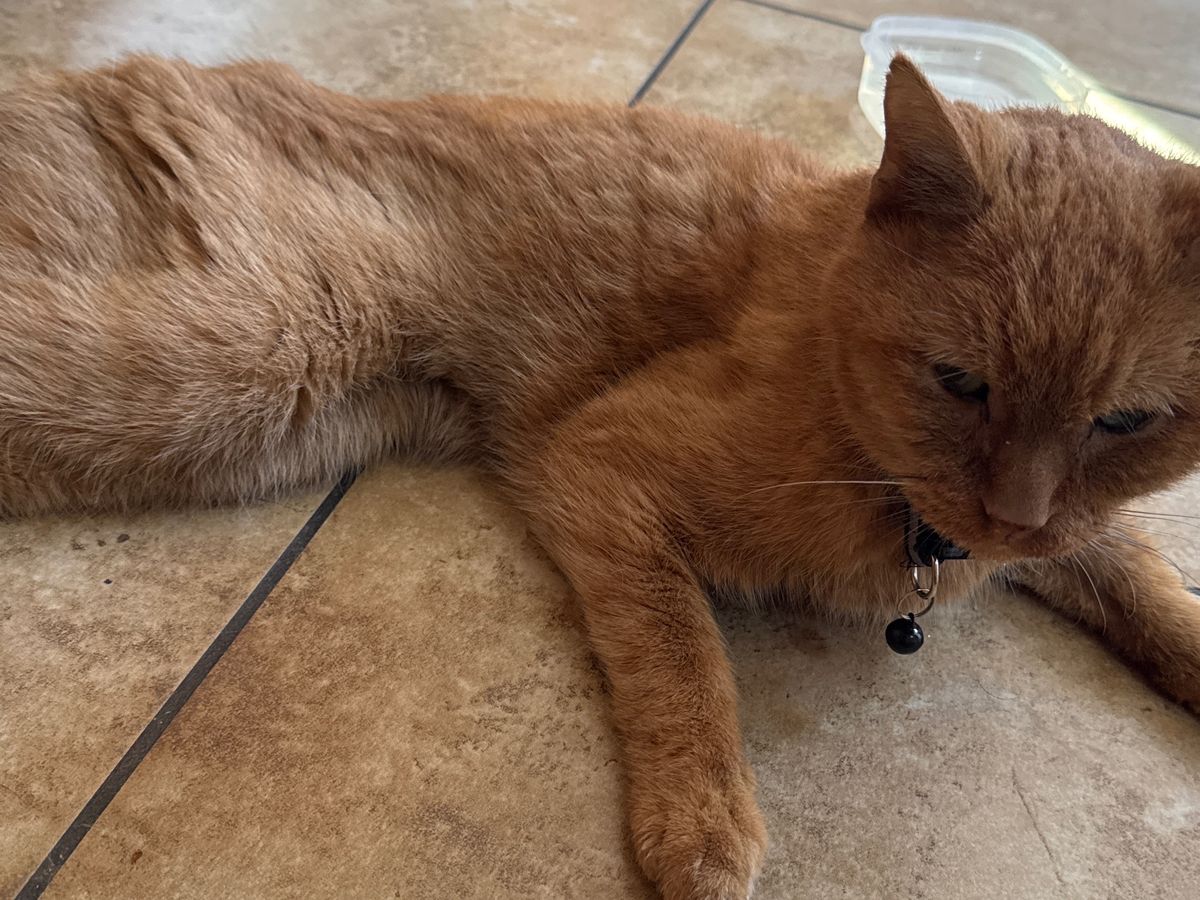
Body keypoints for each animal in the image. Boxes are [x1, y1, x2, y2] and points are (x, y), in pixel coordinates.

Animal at [2, 52, 1199, 900]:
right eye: (960, 382)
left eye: (1124, 421)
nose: (1015, 512)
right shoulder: (603, 467)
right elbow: (684, 658)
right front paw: (705, 824)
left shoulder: (1063, 536)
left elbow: (1147, 581)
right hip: (226, 364)